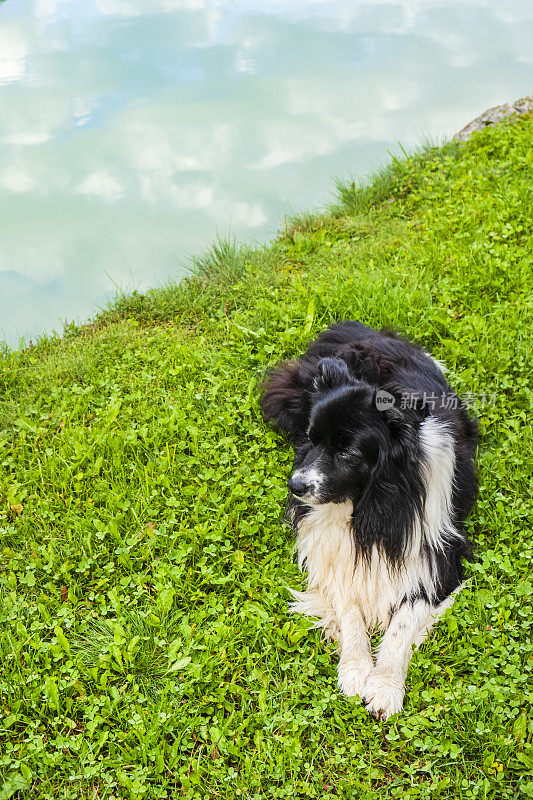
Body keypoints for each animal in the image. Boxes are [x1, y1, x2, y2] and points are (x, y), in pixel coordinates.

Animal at [262, 322, 478, 720]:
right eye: (311, 439)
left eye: (347, 452)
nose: (295, 487)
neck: (373, 500)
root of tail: (358, 330)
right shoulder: (330, 550)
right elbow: (349, 608)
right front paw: (356, 668)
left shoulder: (437, 558)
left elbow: (403, 622)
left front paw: (385, 685)